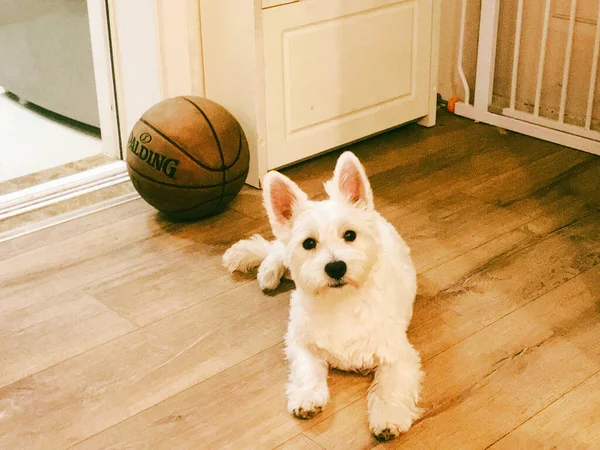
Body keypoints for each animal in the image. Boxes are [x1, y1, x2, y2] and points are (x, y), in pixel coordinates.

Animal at [223, 153, 424, 442]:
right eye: (308, 243)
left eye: (350, 235)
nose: (336, 267)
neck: (341, 303)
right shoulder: (300, 341)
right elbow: (307, 368)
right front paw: (307, 397)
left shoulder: (397, 354)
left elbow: (392, 386)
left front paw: (388, 417)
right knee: (276, 249)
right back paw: (265, 270)